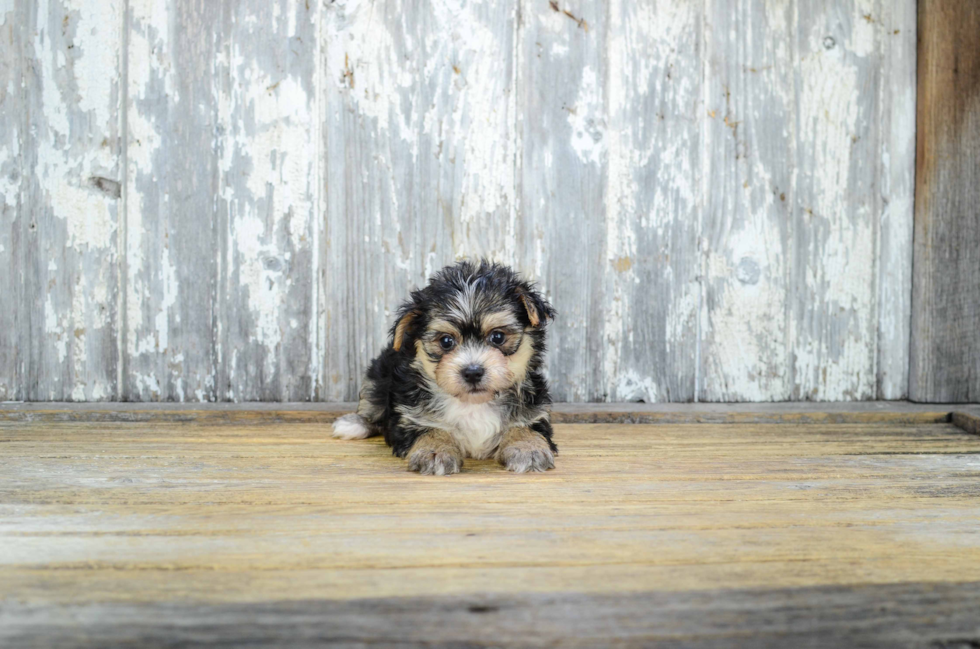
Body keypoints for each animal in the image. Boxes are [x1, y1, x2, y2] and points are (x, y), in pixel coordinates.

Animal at [332, 260, 556, 476]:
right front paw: (435, 451)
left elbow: (526, 425)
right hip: (377, 374)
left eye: (498, 337)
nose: (472, 372)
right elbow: (429, 428)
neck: (473, 403)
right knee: (372, 403)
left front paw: (527, 447)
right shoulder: (410, 415)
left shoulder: (534, 410)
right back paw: (353, 424)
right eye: (446, 341)